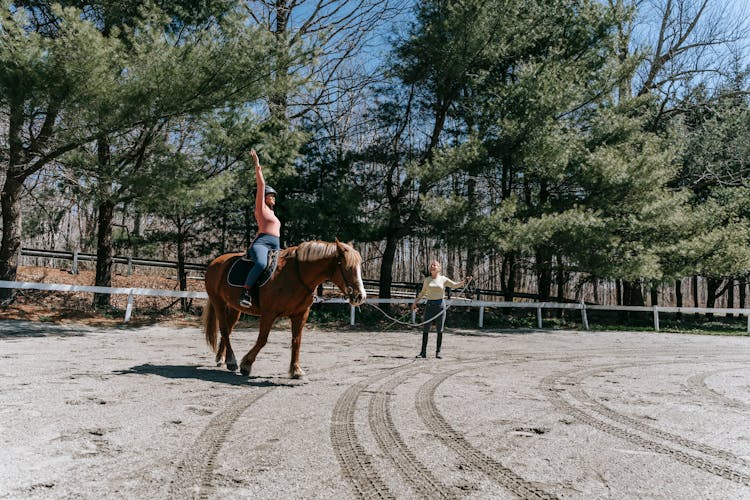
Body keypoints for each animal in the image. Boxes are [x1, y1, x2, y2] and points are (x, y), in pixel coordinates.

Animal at [203, 240, 368, 376]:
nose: (360, 296)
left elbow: (297, 341)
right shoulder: (269, 313)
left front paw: (295, 369)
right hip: (218, 302)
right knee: (224, 329)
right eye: (347, 267)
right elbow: (262, 339)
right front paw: (246, 364)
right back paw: (231, 361)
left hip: (234, 307)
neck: (297, 275)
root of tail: (216, 262)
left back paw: (222, 358)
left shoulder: (301, 314)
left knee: (228, 330)